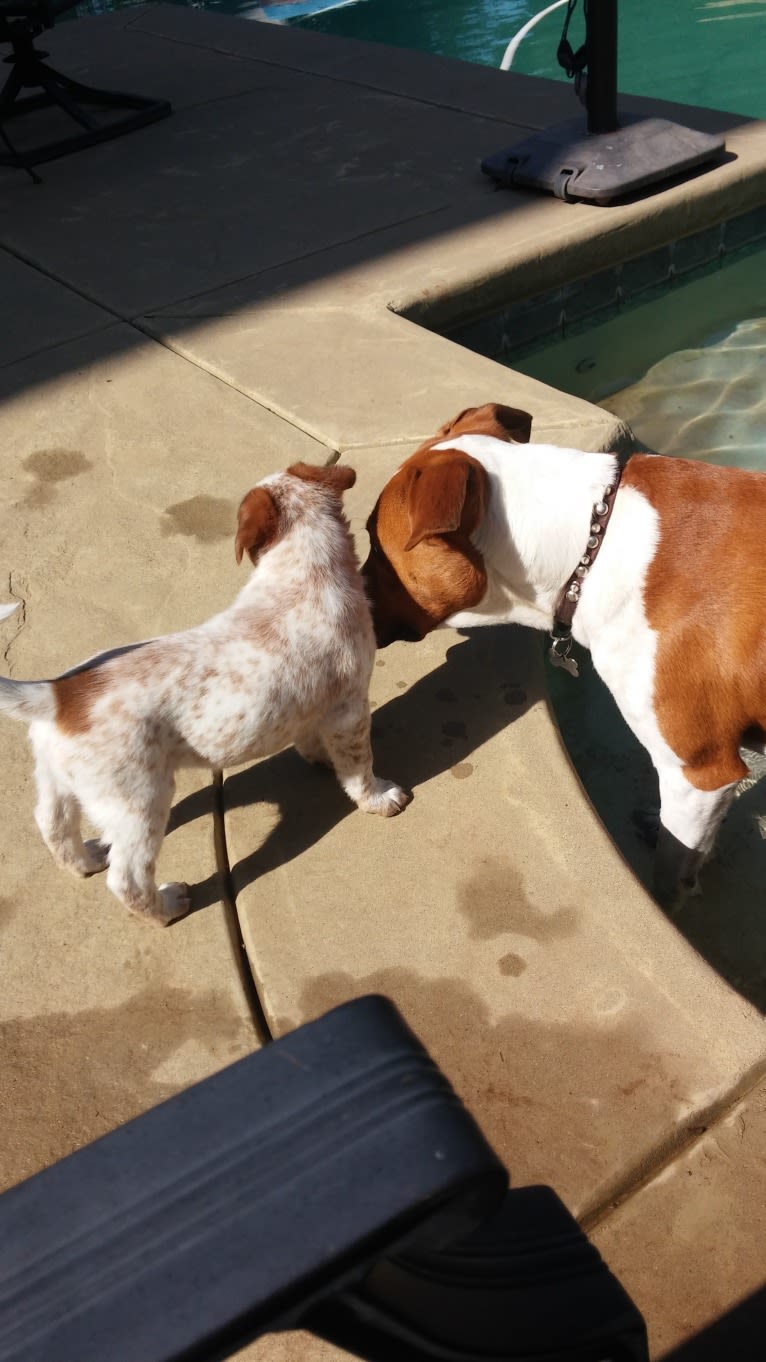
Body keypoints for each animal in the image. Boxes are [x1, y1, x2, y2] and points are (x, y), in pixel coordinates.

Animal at [0, 465, 411, 926]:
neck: (302, 572)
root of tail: (57, 694)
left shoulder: (313, 705)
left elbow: (309, 737)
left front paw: (319, 758)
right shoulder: (350, 708)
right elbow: (359, 768)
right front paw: (379, 797)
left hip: (56, 779)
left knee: (52, 825)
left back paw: (86, 860)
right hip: (139, 802)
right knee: (127, 879)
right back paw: (167, 907)